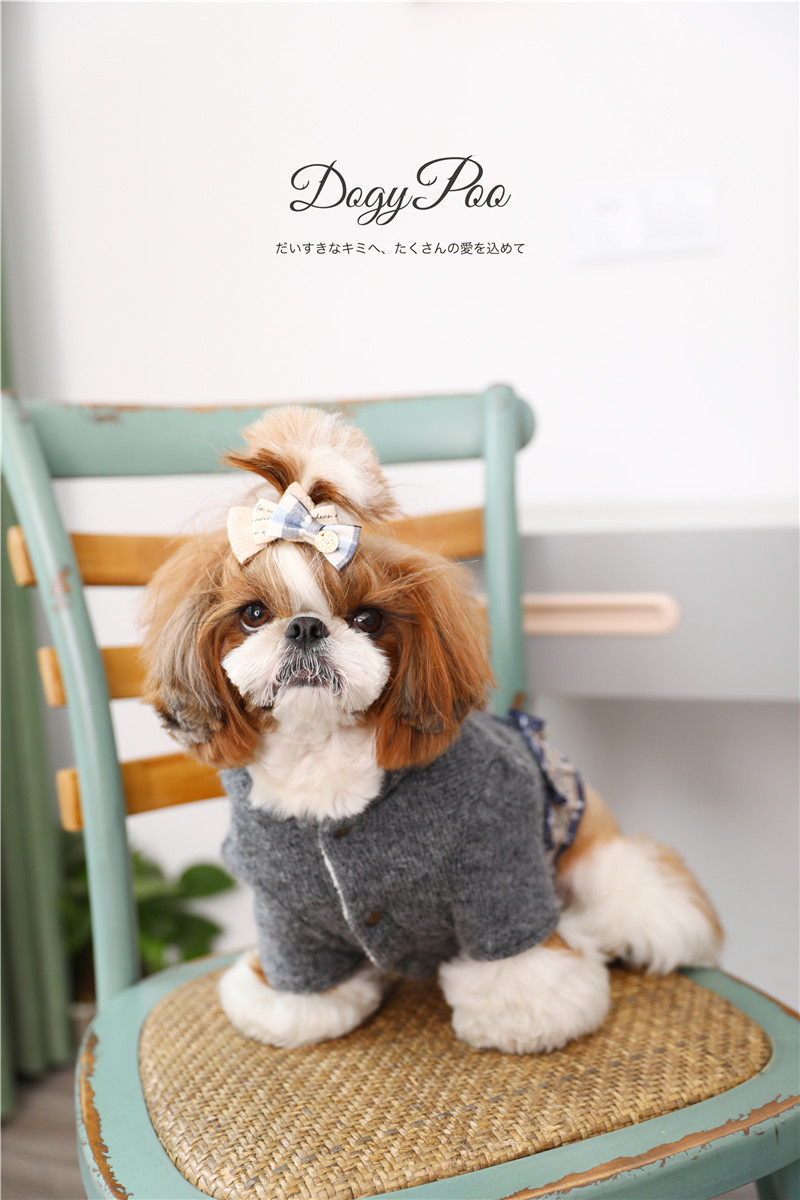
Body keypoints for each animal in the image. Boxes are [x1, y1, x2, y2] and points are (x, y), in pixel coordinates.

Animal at [141, 405, 722, 1054]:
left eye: (367, 618)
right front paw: (296, 1008)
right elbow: (300, 980)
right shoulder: (283, 908)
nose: (307, 627)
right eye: (253, 614)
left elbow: (520, 963)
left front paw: (526, 1014)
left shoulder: (497, 867)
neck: (328, 755)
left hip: (595, 857)